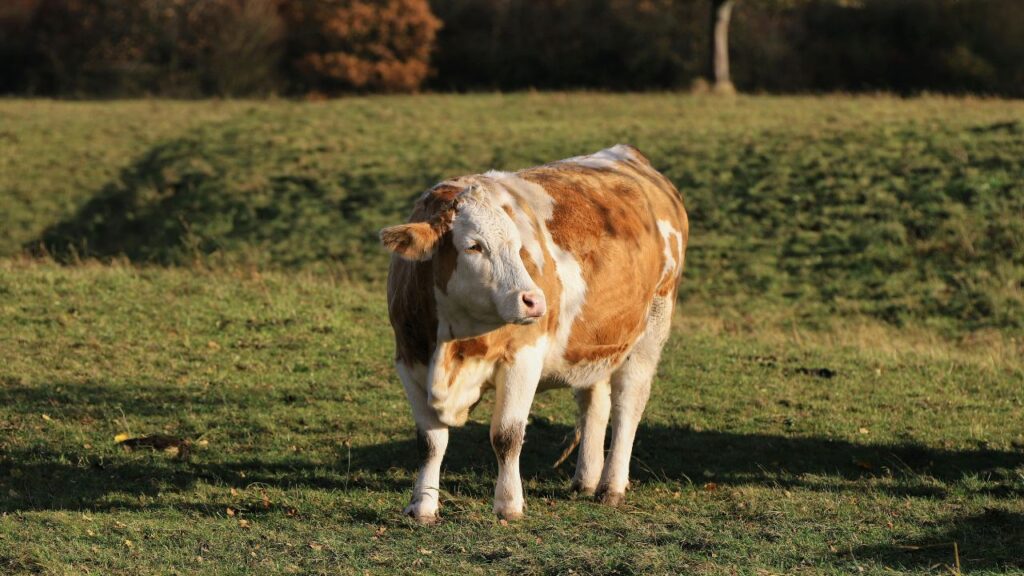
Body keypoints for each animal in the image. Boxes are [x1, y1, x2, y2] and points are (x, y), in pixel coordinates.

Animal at [380, 144, 688, 522]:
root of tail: (629, 156)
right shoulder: (409, 360)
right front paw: (422, 505)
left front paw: (509, 504)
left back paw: (611, 486)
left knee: (628, 404)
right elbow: (430, 442)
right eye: (473, 246)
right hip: (592, 341)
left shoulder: (523, 359)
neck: (452, 345)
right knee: (594, 404)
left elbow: (506, 436)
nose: (534, 300)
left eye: (517, 246)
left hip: (651, 329)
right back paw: (585, 480)